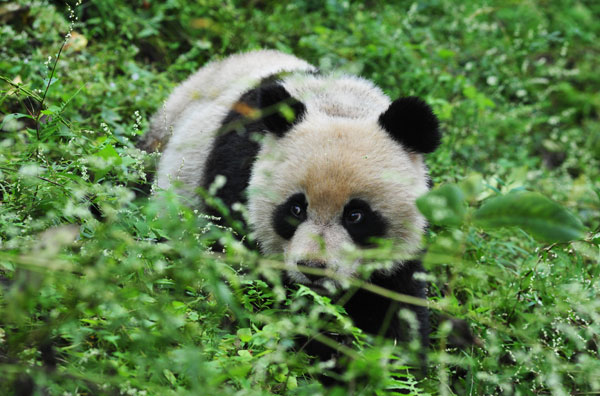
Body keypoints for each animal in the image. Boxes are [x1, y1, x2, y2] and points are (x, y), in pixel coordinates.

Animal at [141, 49, 440, 366]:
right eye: (296, 209)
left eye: (356, 215)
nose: (314, 269)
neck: (339, 105)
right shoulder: (237, 177)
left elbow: (396, 304)